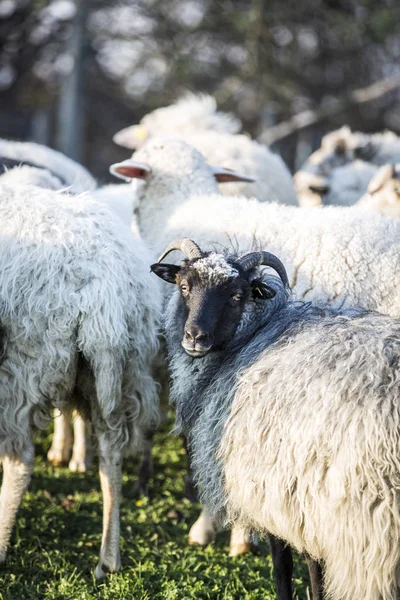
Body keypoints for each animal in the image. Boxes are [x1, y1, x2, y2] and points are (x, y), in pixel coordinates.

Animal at [0, 182, 161, 576]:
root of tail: (101, 285)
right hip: (115, 371)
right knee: (111, 455)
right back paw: (109, 559)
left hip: (22, 367)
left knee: (20, 461)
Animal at [150, 239, 400, 600]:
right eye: (184, 286)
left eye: (237, 296)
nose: (195, 337)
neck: (256, 332)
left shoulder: (278, 493)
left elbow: (287, 568)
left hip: (371, 528)